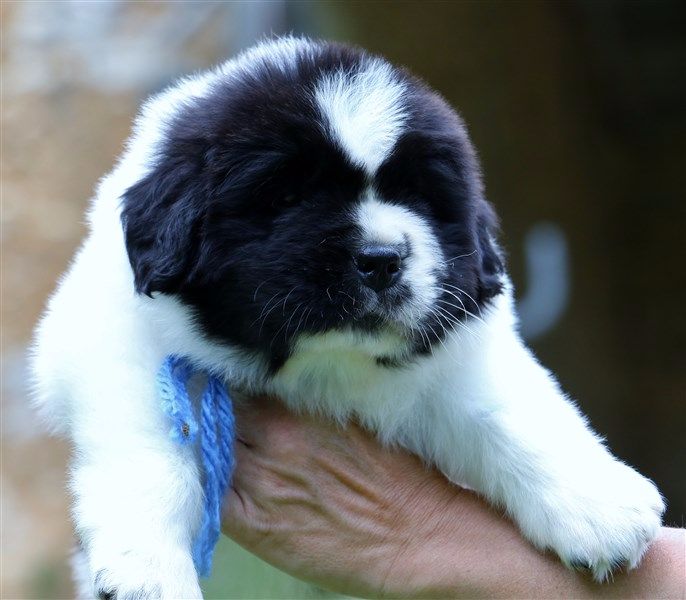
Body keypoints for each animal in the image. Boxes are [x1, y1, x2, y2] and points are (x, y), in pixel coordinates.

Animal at [32, 37, 664, 598]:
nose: (382, 258)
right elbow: (152, 453)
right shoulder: (118, 343)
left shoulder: (461, 350)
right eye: (286, 198)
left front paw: (602, 509)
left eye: (419, 198)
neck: (324, 367)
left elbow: (511, 411)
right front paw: (148, 572)